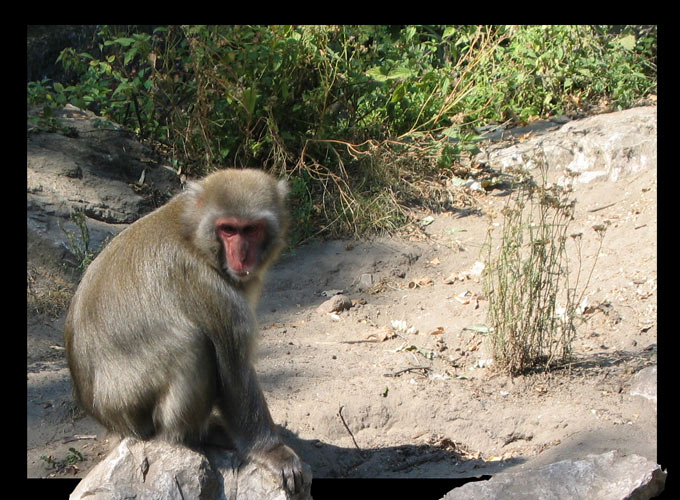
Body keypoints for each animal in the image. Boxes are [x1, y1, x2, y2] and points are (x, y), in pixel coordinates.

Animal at [63, 168, 302, 492]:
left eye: (251, 229)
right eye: (228, 230)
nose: (241, 256)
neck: (194, 235)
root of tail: (108, 419)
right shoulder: (211, 290)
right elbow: (235, 374)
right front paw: (272, 451)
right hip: (131, 406)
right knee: (192, 347)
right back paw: (193, 435)